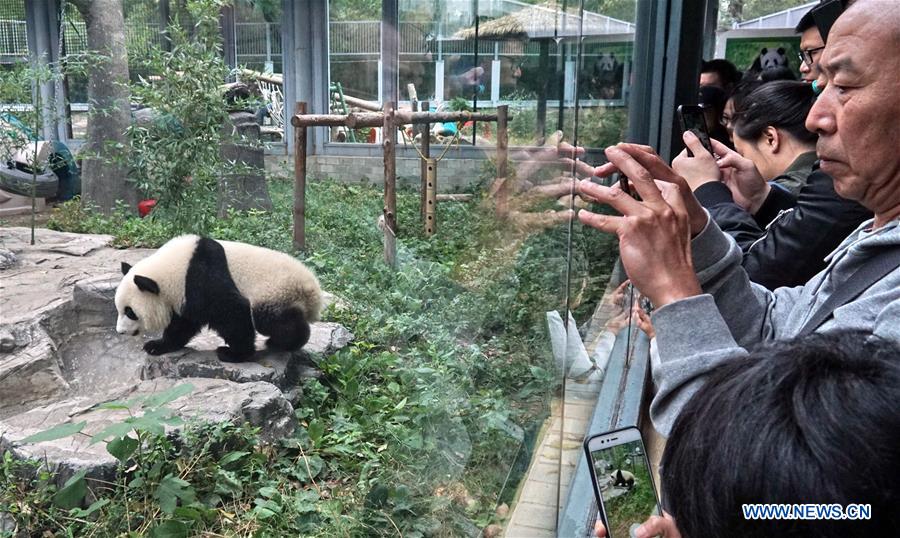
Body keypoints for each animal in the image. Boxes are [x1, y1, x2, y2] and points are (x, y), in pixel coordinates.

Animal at [115, 235, 323, 363]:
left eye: (130, 312)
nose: (120, 332)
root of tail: (313, 289)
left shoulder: (201, 277)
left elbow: (232, 311)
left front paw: (234, 354)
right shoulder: (184, 296)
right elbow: (183, 324)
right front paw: (157, 346)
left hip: (276, 290)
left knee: (271, 320)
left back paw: (283, 342)